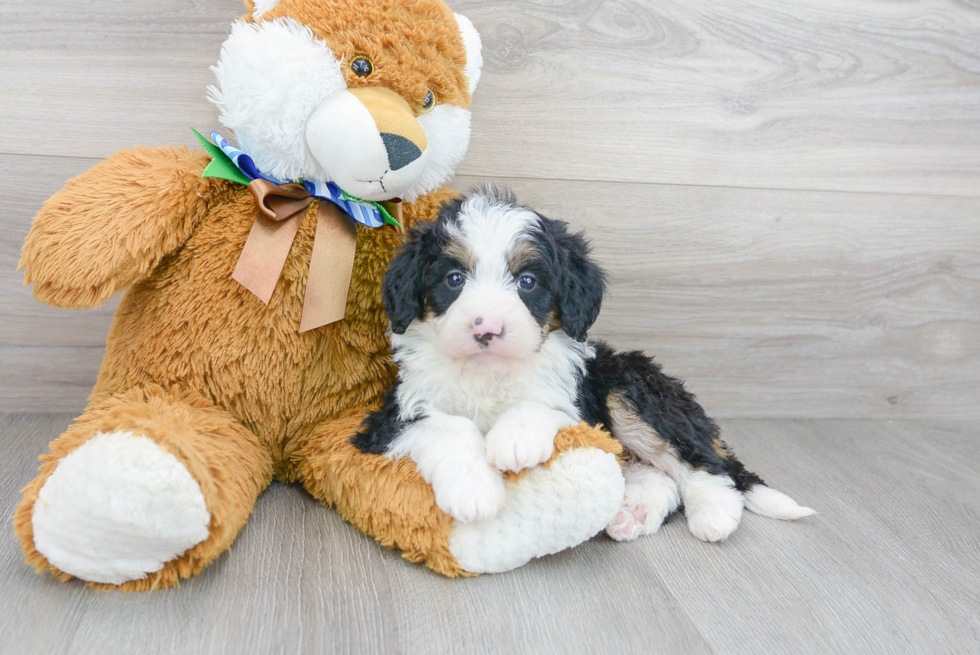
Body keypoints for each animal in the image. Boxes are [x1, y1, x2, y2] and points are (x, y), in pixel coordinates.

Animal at [356, 188, 816, 544]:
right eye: (453, 279)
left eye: (527, 282)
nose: (487, 329)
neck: (488, 371)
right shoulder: (390, 416)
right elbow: (449, 425)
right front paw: (475, 489)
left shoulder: (579, 402)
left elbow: (542, 404)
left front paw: (514, 438)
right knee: (659, 476)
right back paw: (634, 513)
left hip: (630, 389)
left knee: (700, 461)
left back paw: (715, 511)